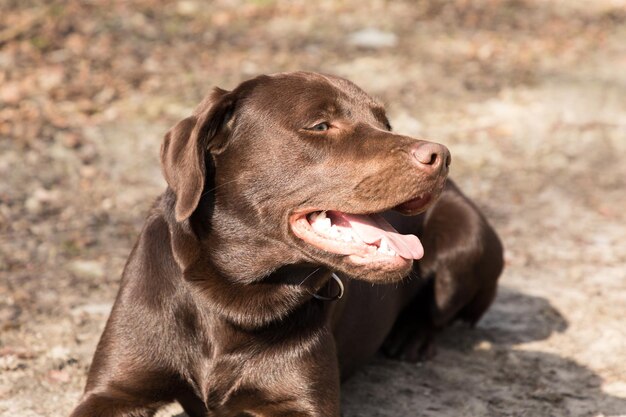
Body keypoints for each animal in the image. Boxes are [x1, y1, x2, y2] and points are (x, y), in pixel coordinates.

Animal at [72, 72, 502, 416]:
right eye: (320, 125)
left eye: (385, 123)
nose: (441, 155)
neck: (233, 295)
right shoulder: (115, 391)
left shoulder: (302, 402)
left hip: (468, 232)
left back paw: (411, 335)